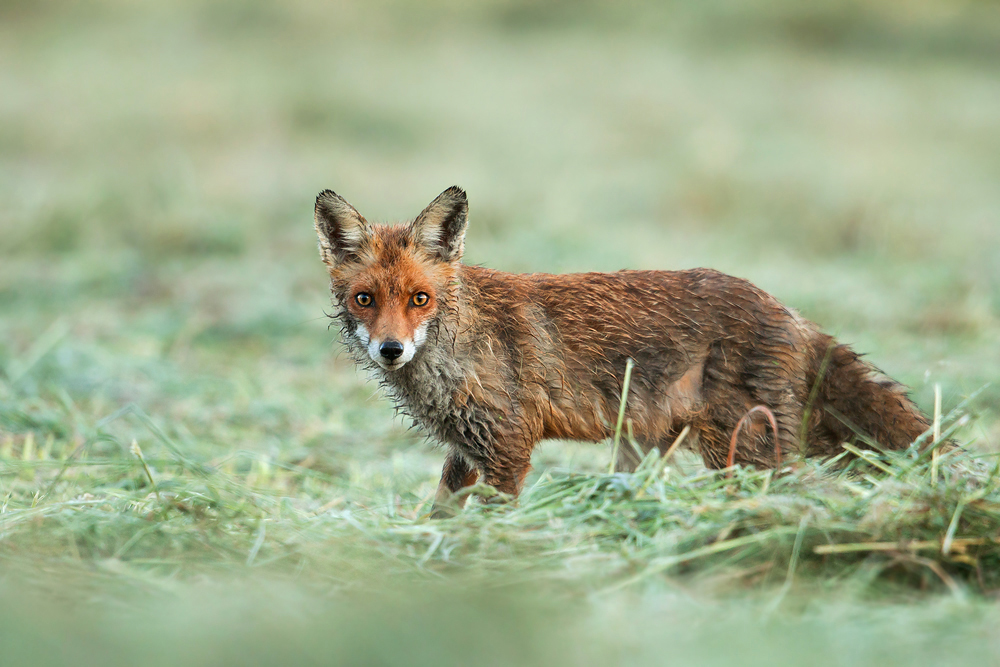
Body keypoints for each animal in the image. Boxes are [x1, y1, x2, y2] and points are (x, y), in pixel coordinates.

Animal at [312, 185, 928, 516]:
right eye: (366, 299)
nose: (391, 350)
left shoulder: (509, 446)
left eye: (420, 298)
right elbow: (441, 513)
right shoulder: (469, 448)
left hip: (745, 454)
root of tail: (790, 312)